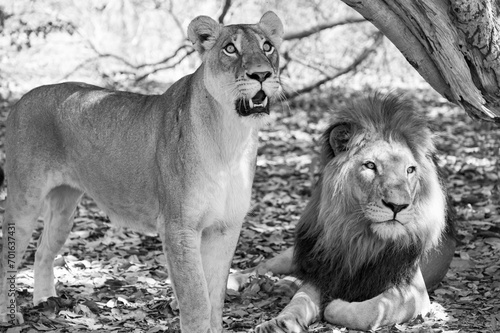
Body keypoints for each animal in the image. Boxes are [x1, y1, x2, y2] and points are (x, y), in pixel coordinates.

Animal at [0, 11, 282, 330]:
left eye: (268, 46)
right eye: (230, 49)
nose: (262, 75)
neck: (232, 137)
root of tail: (22, 99)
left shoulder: (225, 228)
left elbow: (215, 300)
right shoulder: (178, 227)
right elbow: (197, 300)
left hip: (63, 209)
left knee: (42, 251)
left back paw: (45, 300)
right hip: (25, 200)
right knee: (6, 257)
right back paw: (8, 315)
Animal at [256, 92, 452, 332]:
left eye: (410, 170)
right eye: (370, 166)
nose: (397, 206)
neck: (359, 238)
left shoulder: (414, 291)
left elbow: (370, 311)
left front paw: (333, 304)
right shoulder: (327, 272)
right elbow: (299, 300)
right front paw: (278, 323)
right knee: (261, 266)